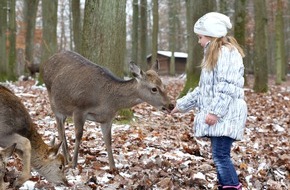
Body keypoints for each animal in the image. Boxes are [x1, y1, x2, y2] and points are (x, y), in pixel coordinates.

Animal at [41, 50, 174, 171]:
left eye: (164, 85)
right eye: (154, 89)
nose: (171, 105)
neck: (107, 101)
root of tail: (47, 61)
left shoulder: (107, 118)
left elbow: (108, 139)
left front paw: (113, 167)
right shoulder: (79, 108)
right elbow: (79, 135)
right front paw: (74, 164)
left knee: (62, 128)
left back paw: (67, 156)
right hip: (53, 101)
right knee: (60, 129)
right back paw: (66, 158)